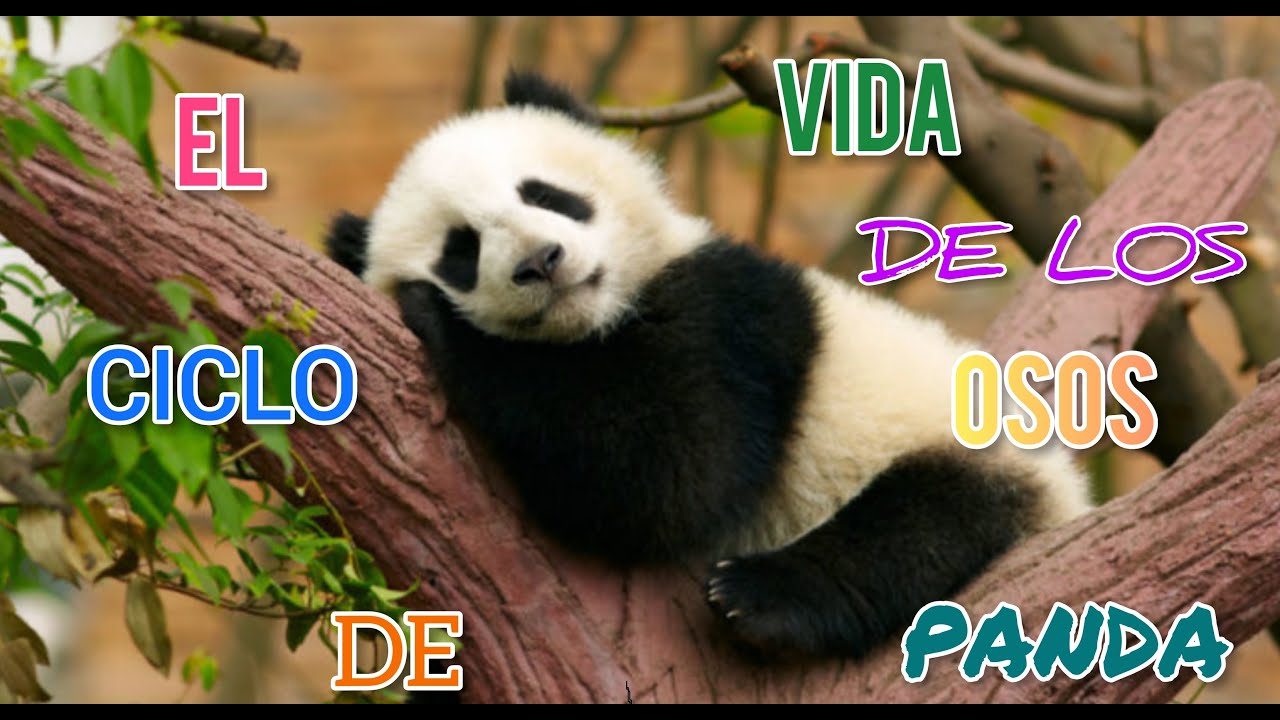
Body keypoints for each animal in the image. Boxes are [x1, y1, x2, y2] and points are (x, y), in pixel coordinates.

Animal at [325, 71, 1093, 661]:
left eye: (544, 194)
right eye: (461, 249)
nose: (541, 262)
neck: (600, 320)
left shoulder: (733, 318)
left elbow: (671, 471)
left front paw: (441, 322)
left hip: (968, 447)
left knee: (923, 523)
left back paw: (762, 598)